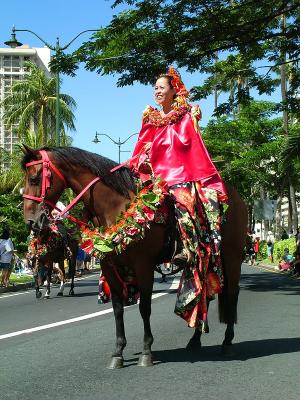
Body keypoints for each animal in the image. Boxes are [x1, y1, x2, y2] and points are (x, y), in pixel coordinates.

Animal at [20, 146, 246, 368]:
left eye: (34, 178)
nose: (31, 222)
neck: (115, 206)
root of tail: (235, 196)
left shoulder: (143, 266)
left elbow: (144, 308)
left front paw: (146, 351)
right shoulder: (110, 267)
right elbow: (118, 309)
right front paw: (118, 353)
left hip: (232, 256)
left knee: (232, 294)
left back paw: (227, 342)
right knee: (206, 293)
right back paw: (195, 339)